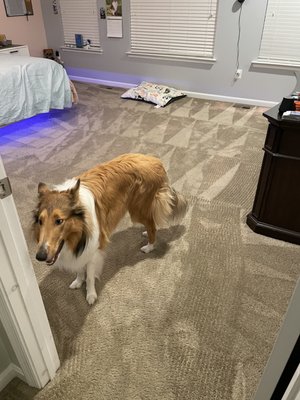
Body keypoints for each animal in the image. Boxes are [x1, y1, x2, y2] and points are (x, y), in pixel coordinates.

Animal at [33, 153, 188, 304]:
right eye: (40, 221)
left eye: (59, 221)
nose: (40, 256)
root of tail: (155, 161)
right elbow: (79, 269)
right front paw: (78, 281)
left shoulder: (92, 248)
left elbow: (90, 277)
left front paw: (91, 295)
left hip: (138, 209)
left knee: (152, 225)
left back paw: (149, 246)